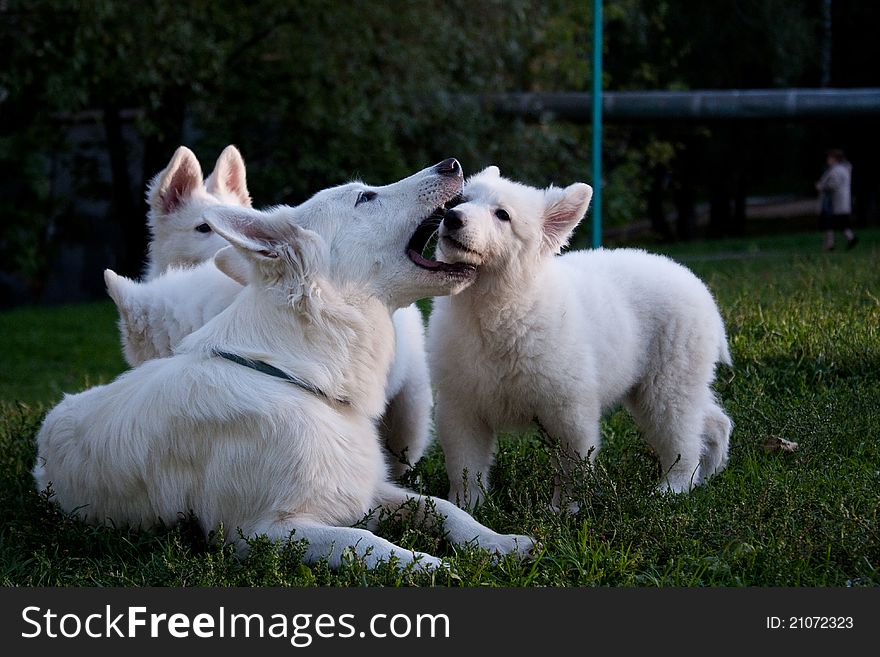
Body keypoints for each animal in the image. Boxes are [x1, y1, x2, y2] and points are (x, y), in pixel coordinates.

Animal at [32, 159, 536, 568]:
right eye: (365, 196)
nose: (453, 164)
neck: (295, 376)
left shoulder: (370, 489)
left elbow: (445, 508)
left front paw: (498, 543)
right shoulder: (262, 532)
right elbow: (368, 543)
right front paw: (431, 566)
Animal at [424, 165, 728, 508]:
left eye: (502, 215)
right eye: (461, 200)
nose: (452, 217)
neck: (495, 309)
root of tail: (699, 287)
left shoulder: (567, 404)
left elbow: (573, 463)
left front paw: (565, 509)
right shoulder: (460, 403)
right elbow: (464, 462)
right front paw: (465, 506)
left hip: (668, 381)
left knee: (681, 435)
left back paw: (673, 488)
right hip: (660, 383)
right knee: (712, 421)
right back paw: (710, 473)